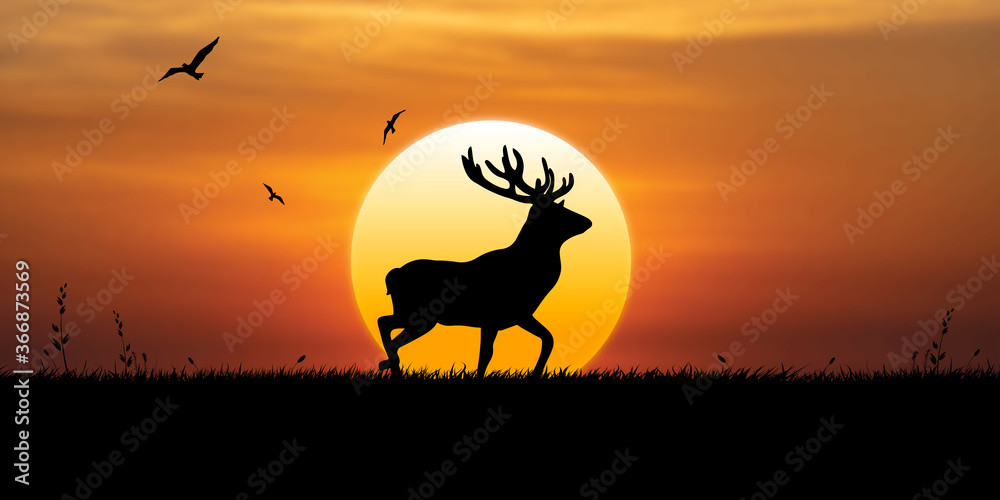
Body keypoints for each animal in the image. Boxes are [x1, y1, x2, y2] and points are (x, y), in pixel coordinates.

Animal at [377, 145, 593, 378]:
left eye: (563, 206)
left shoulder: (520, 315)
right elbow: (485, 356)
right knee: (386, 326)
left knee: (388, 328)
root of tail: (393, 275)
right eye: (557, 211)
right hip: (418, 314)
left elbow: (548, 339)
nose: (587, 221)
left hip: (411, 314)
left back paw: (391, 368)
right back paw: (389, 365)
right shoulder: (492, 317)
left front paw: (535, 375)